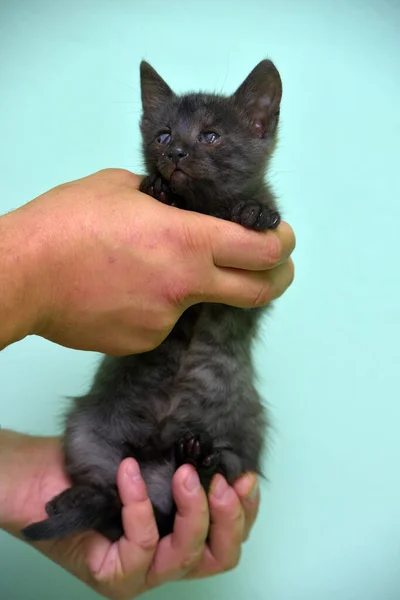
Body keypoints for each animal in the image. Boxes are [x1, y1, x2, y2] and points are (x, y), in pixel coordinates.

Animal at [21, 58, 282, 540]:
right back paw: (79, 498)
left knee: (215, 475)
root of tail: (155, 466)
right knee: (109, 491)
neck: (201, 209)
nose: (175, 152)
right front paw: (158, 190)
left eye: (210, 135)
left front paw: (254, 211)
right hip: (88, 429)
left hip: (243, 439)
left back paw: (196, 459)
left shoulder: (259, 291)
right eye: (162, 135)